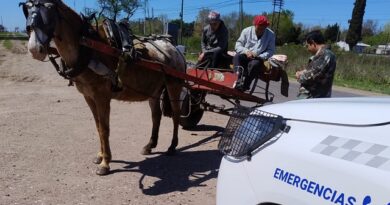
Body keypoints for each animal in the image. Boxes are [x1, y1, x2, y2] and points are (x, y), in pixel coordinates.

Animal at [20, 0, 187, 176]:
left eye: (49, 10)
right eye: (27, 10)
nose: (34, 49)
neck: (88, 48)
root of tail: (175, 50)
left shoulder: (102, 97)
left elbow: (104, 128)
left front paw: (105, 163)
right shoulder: (88, 97)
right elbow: (98, 126)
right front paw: (100, 156)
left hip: (174, 85)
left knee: (176, 114)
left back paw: (172, 146)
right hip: (153, 90)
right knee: (156, 116)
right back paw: (149, 145)